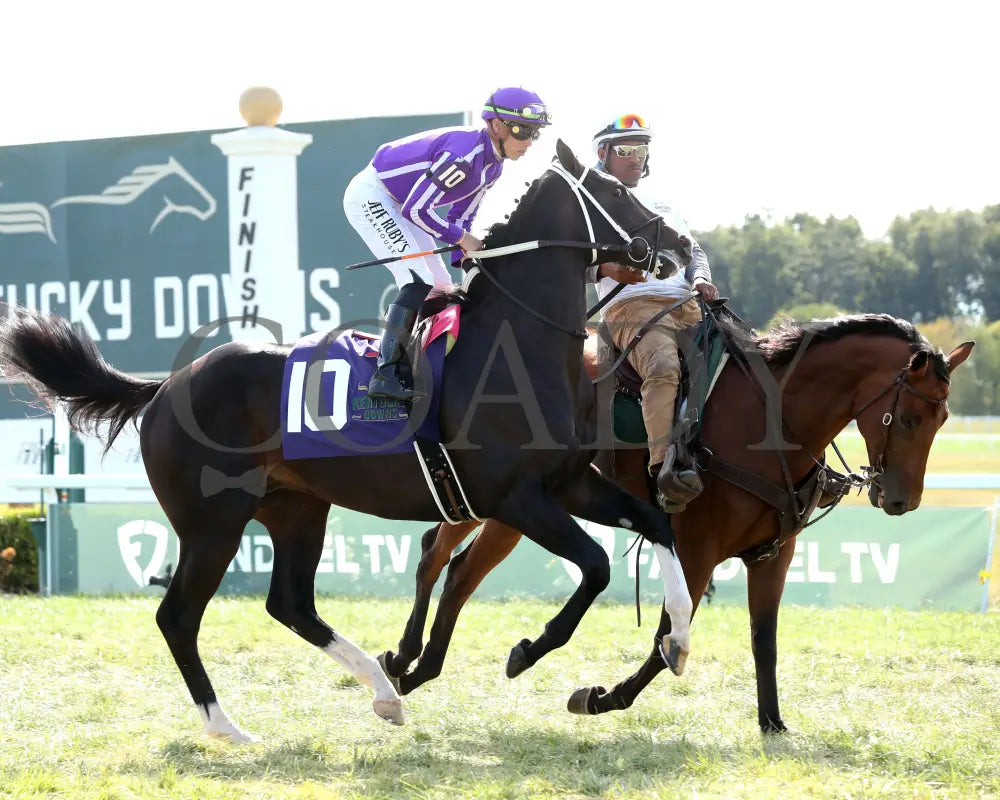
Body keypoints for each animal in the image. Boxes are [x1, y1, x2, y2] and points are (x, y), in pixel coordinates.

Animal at [1, 141, 696, 748]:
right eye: (616, 191)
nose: (679, 246)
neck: (518, 344)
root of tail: (166, 383)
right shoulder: (515, 496)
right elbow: (596, 564)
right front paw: (525, 651)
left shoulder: (568, 483)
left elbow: (657, 524)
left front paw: (679, 640)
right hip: (213, 522)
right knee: (178, 616)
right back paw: (228, 727)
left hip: (296, 508)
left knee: (290, 604)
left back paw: (384, 689)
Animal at [378, 310, 972, 732]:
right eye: (910, 417)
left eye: (943, 417)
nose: (902, 501)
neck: (766, 422)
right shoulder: (697, 549)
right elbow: (668, 637)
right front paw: (603, 697)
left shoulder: (773, 555)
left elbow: (764, 639)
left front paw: (772, 721)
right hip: (502, 507)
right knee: (447, 564)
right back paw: (413, 661)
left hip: (492, 506)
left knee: (446, 562)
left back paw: (411, 663)